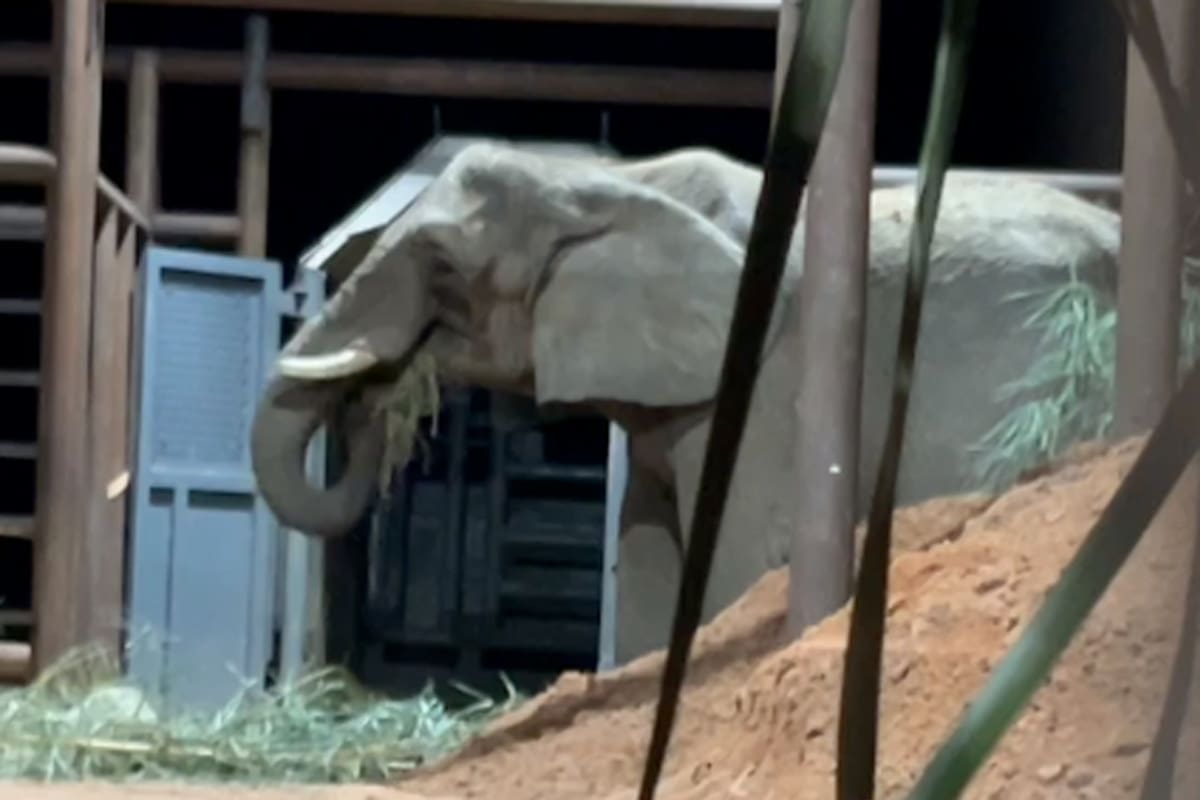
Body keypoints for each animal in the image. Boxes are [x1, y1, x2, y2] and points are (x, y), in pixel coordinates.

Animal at [250, 141, 1122, 665]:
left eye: (441, 269)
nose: (381, 397)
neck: (612, 185)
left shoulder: (768, 369)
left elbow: (747, 548)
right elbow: (645, 554)